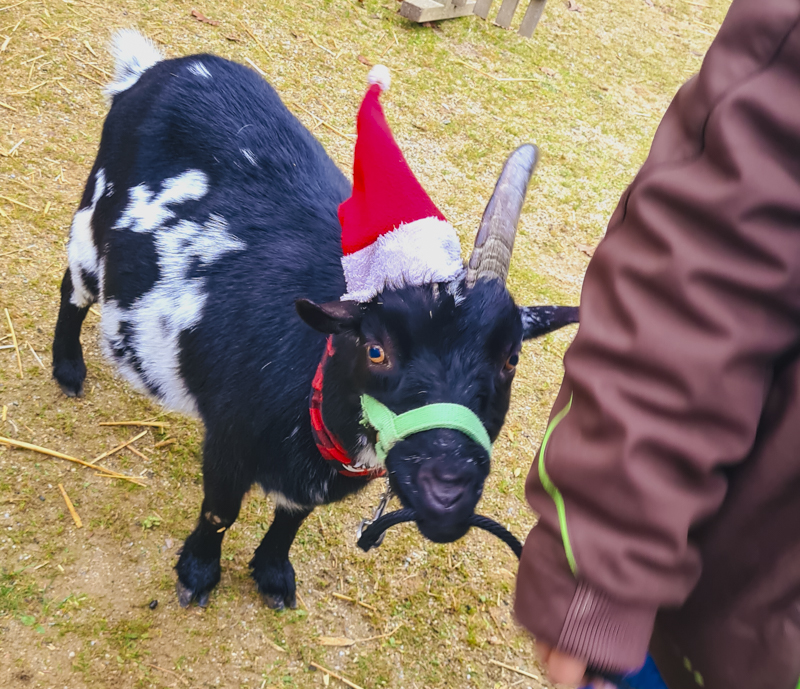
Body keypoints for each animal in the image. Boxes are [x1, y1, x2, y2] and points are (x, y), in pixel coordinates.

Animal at [53, 32, 580, 612]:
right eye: (375, 348)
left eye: (511, 359)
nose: (447, 492)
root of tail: (156, 68)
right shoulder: (228, 440)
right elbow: (220, 511)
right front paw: (197, 572)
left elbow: (294, 515)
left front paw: (273, 573)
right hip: (92, 220)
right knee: (72, 289)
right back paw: (68, 369)